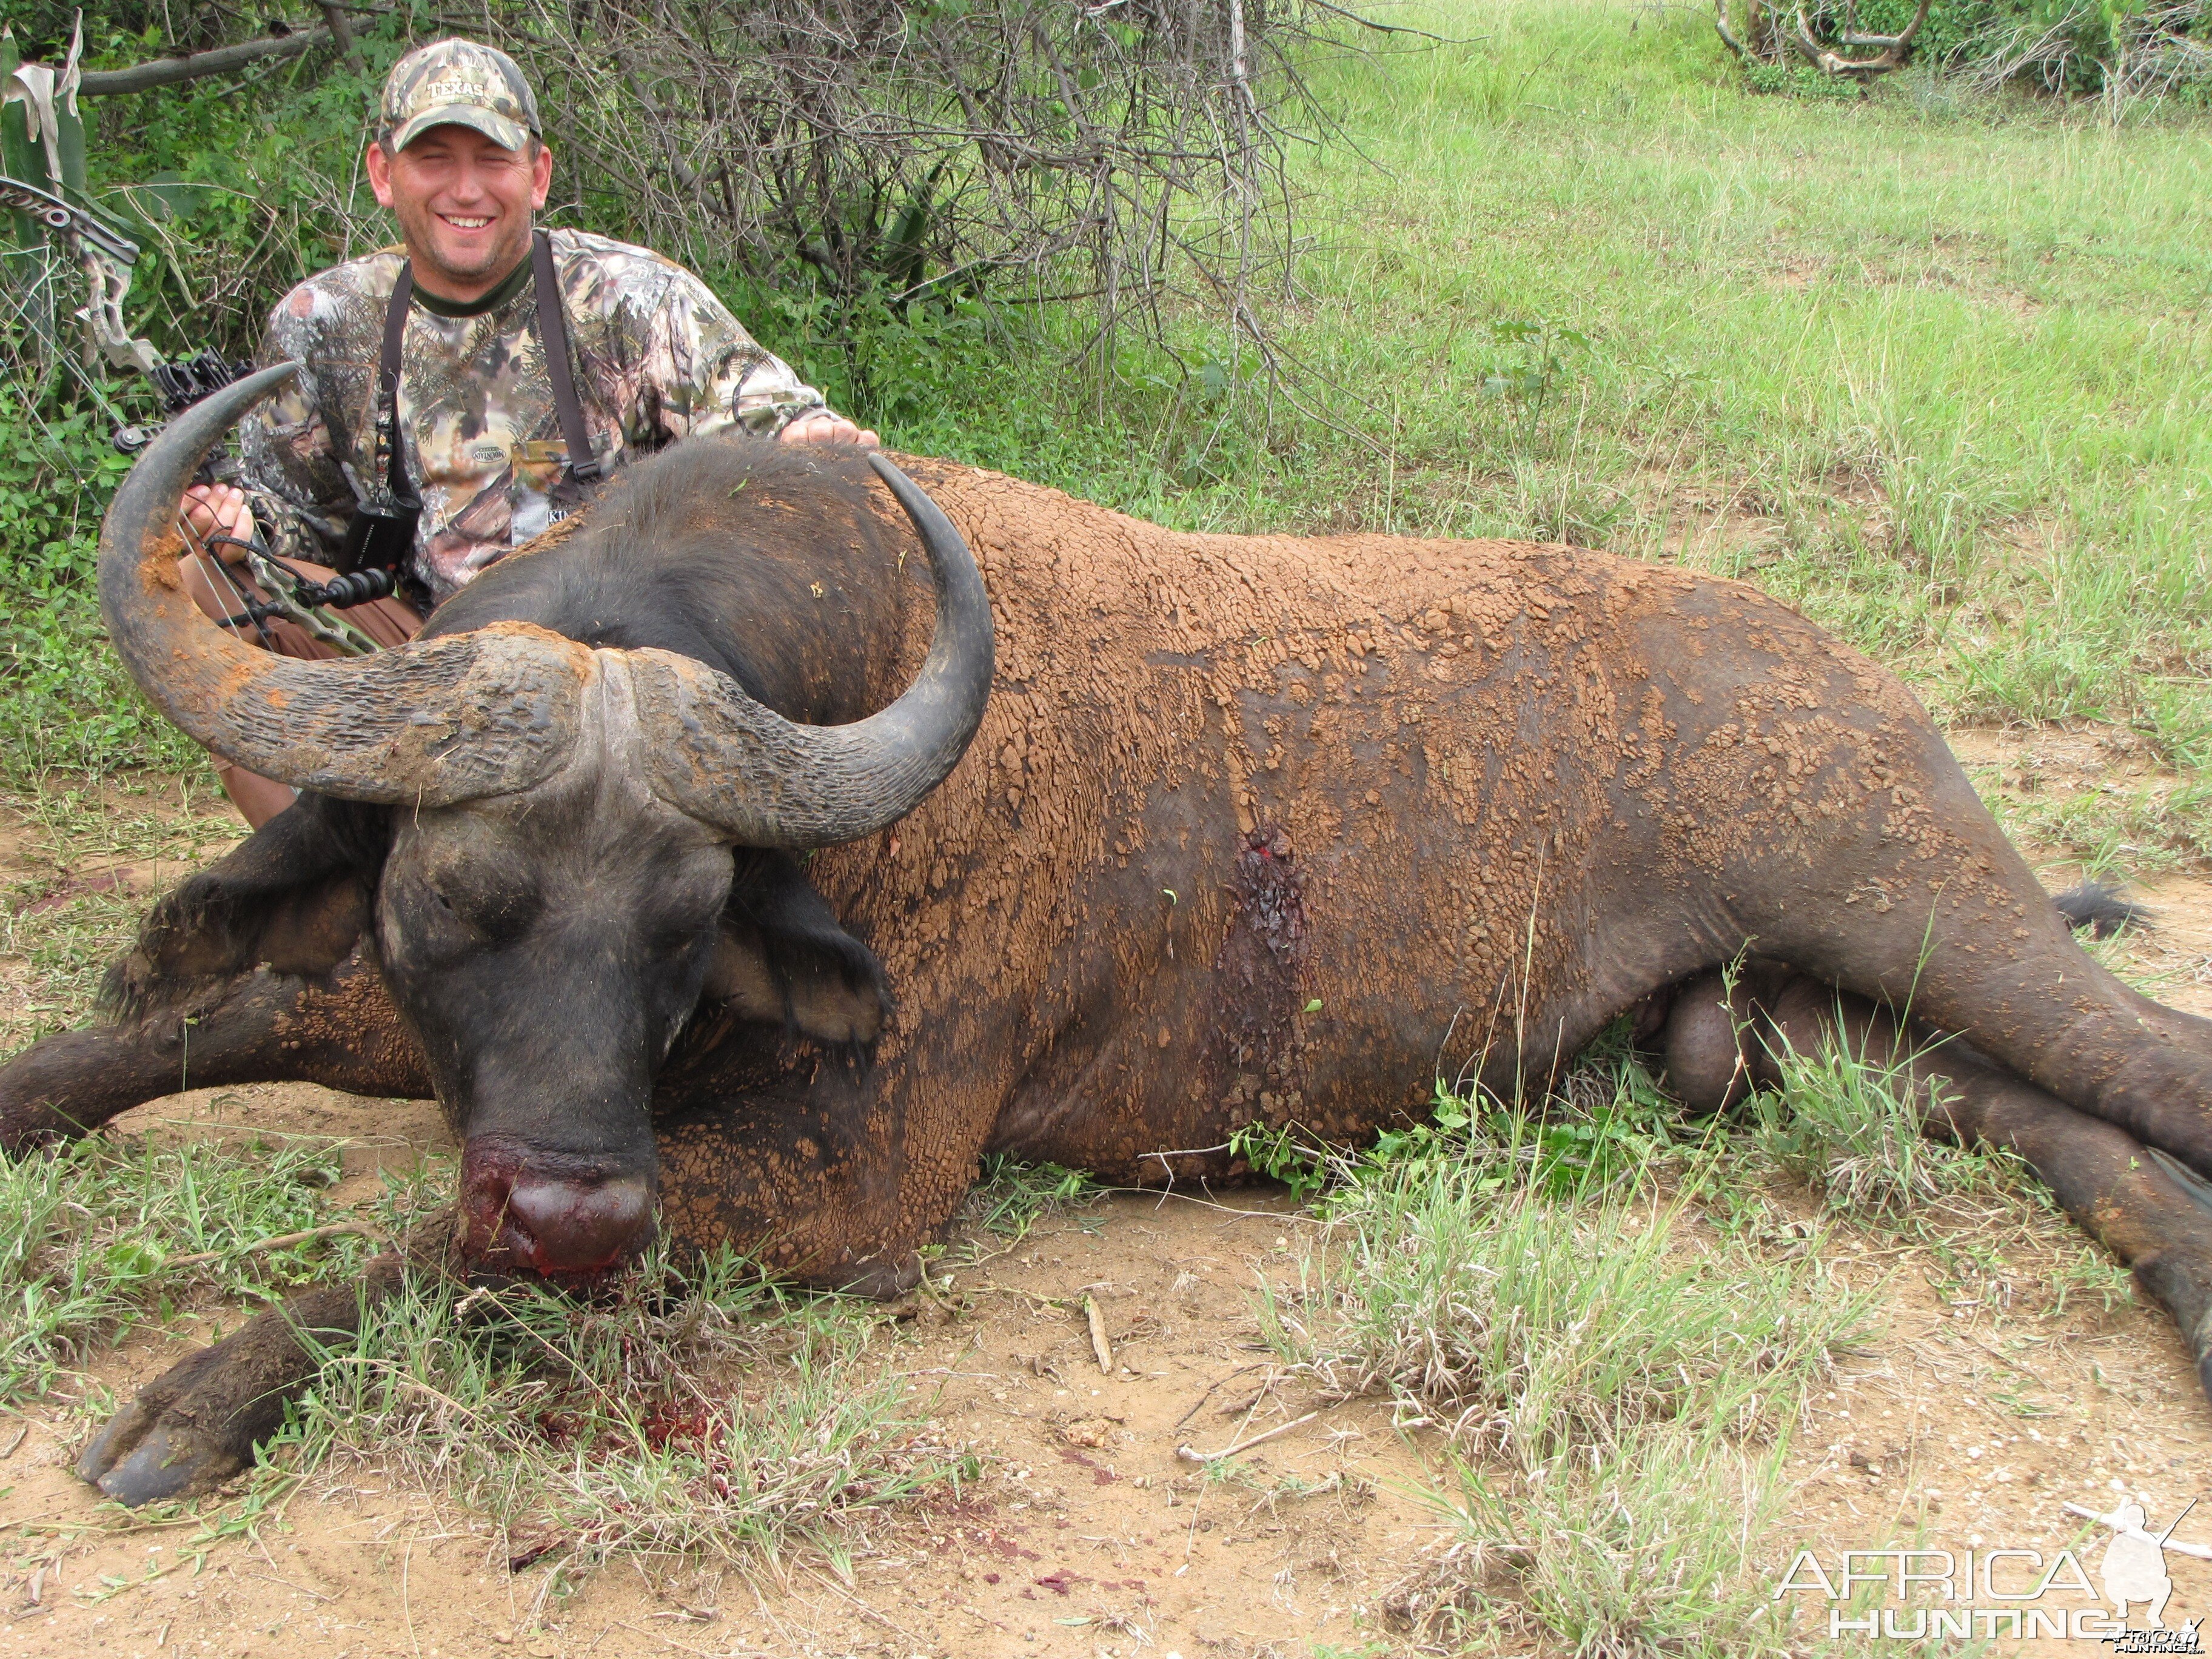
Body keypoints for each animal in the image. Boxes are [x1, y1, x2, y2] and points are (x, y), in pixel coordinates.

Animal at [4, 367, 2212, 1504]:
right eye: (457, 898)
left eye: (692, 918)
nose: (569, 1202)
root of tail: (1833, 669)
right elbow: (194, 1023)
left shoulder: (860, 1181)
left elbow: (416, 1249)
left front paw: (202, 1391)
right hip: (1808, 1042)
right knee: (2067, 1131)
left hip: (1919, 910)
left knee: (2154, 1064)